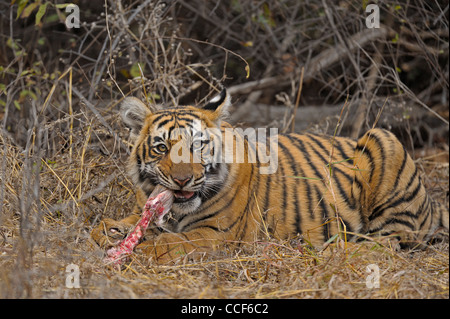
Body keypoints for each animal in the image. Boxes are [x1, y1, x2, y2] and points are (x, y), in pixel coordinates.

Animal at [90, 89, 446, 262]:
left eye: (197, 145)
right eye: (162, 147)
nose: (181, 181)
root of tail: (432, 203)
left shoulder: (216, 233)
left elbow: (167, 242)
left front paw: (133, 252)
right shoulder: (144, 211)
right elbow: (106, 225)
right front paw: (109, 234)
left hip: (383, 140)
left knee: (390, 241)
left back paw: (331, 250)